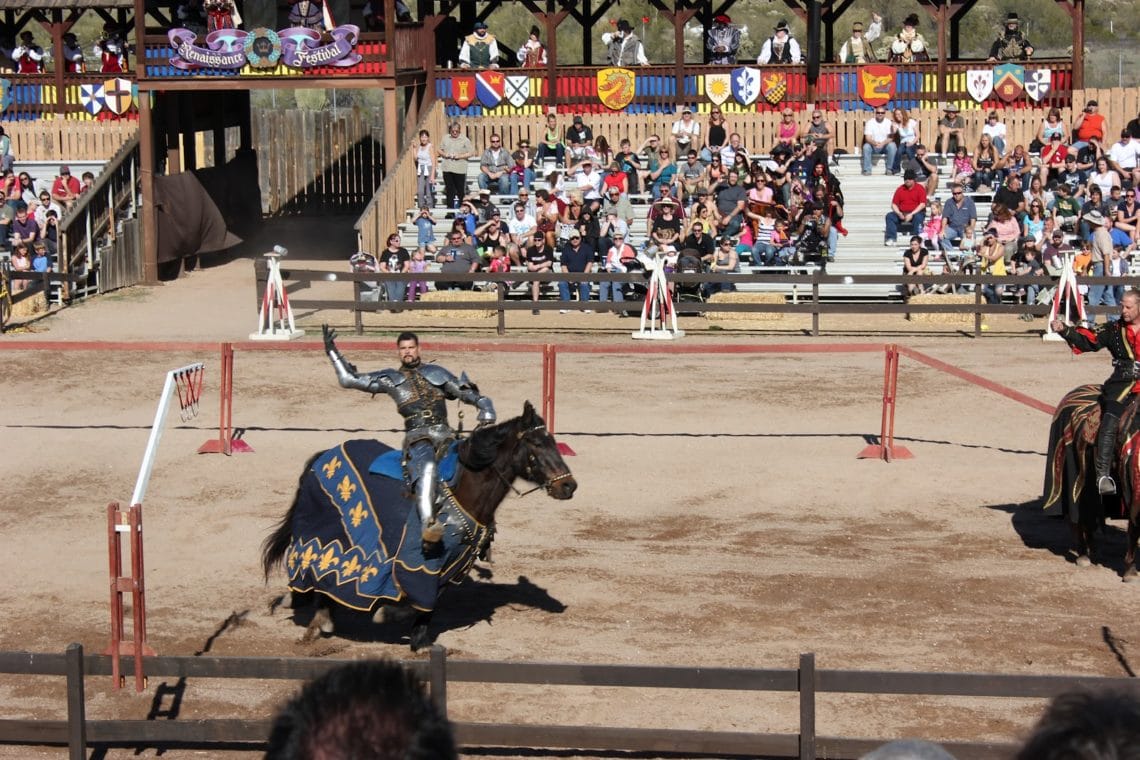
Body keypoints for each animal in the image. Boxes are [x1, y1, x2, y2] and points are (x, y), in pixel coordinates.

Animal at [261, 401, 574, 651]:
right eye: (536, 444)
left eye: (553, 442)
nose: (569, 486)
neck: (466, 490)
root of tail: (324, 455)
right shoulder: (420, 562)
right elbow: (418, 596)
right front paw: (386, 614)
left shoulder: (451, 564)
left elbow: (431, 602)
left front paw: (420, 642)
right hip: (319, 538)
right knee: (318, 571)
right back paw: (315, 615)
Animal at [1044, 382, 1140, 578]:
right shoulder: (1134, 487)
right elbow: (1135, 527)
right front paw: (1130, 569)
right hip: (1074, 476)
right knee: (1078, 519)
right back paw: (1083, 555)